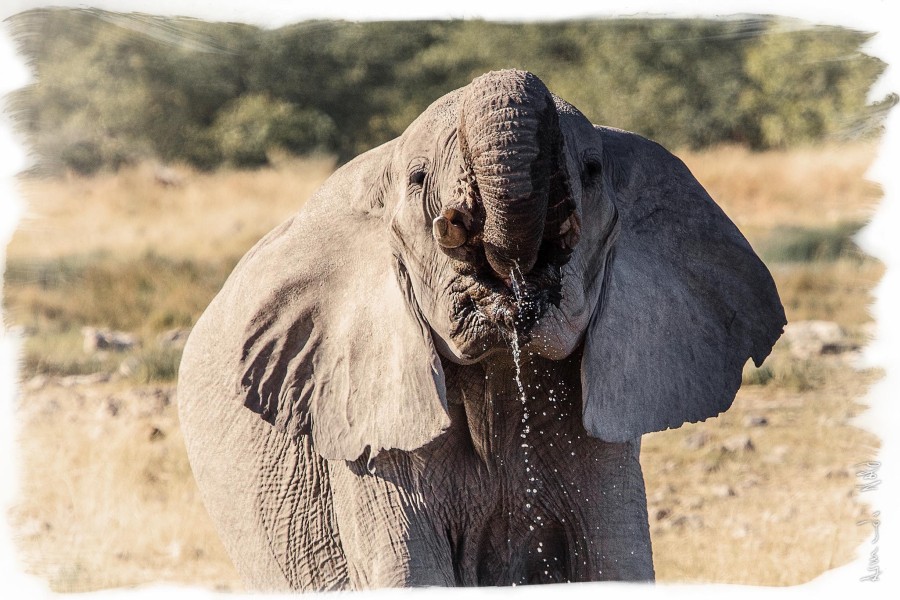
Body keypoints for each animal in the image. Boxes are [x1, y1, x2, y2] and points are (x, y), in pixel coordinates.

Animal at [176, 69, 780, 592]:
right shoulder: (363, 423)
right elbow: (410, 572)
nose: (459, 221)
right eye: (418, 179)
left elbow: (616, 560)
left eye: (591, 170)